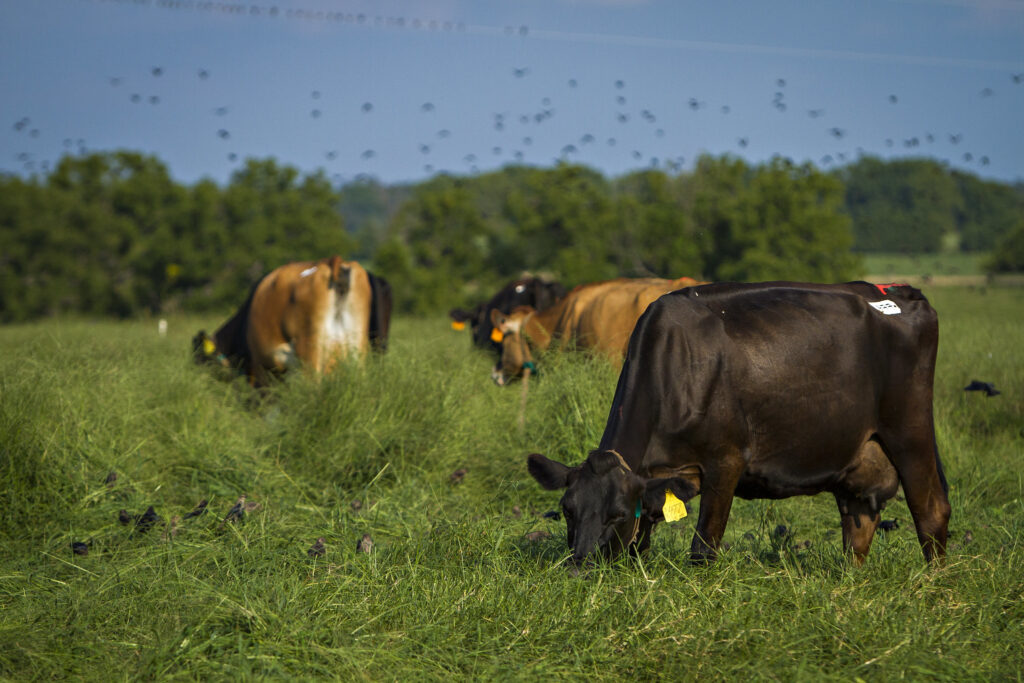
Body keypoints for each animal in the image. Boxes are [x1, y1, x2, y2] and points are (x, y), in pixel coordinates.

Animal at [528, 282, 950, 565]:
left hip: (909, 430)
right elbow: (640, 543)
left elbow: (703, 548)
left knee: (931, 511)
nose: (580, 567)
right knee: (858, 522)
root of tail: (899, 291)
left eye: (616, 514)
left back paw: (934, 589)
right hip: (858, 452)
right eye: (567, 510)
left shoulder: (726, 461)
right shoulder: (652, 482)